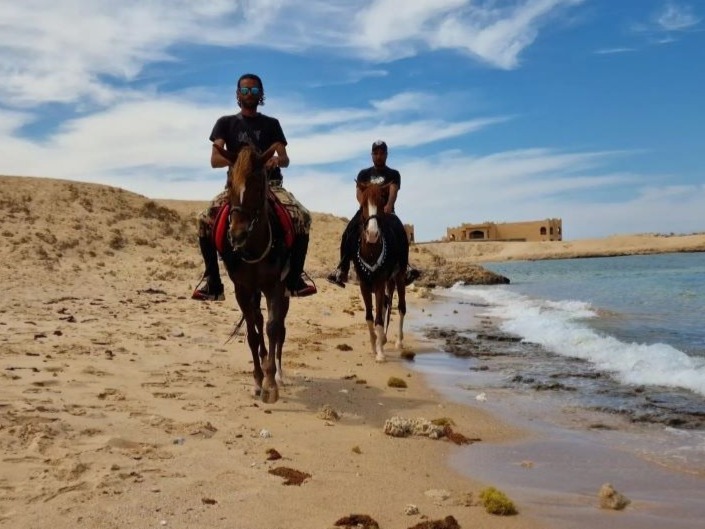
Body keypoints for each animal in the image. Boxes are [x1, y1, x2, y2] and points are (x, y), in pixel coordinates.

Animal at [222, 144, 290, 403]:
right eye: (229, 182)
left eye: (259, 184)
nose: (237, 235)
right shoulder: (242, 289)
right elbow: (252, 332)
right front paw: (259, 380)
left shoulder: (275, 286)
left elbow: (273, 327)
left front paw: (271, 382)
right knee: (258, 321)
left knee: (278, 328)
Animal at [353, 182, 407, 362]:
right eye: (363, 205)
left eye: (382, 203)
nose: (372, 234)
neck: (371, 251)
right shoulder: (363, 284)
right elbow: (370, 317)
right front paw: (374, 345)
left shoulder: (379, 283)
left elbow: (378, 318)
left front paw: (380, 354)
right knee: (385, 303)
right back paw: (382, 339)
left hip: (399, 276)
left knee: (401, 307)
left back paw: (398, 342)